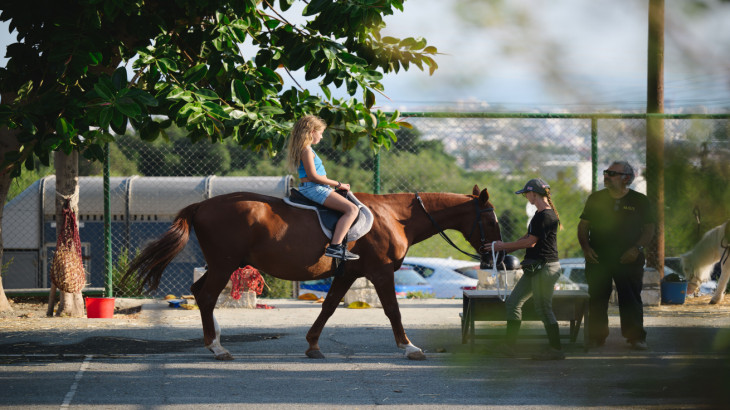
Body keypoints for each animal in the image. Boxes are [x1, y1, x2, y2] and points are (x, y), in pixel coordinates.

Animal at [123, 184, 500, 360]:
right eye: (491, 219)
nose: (494, 251)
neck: (394, 216)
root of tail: (201, 204)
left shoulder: (349, 273)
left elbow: (329, 306)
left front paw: (313, 345)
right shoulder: (380, 272)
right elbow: (393, 310)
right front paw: (408, 347)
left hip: (222, 264)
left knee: (202, 292)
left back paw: (216, 339)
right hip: (224, 264)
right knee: (205, 296)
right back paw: (216, 348)